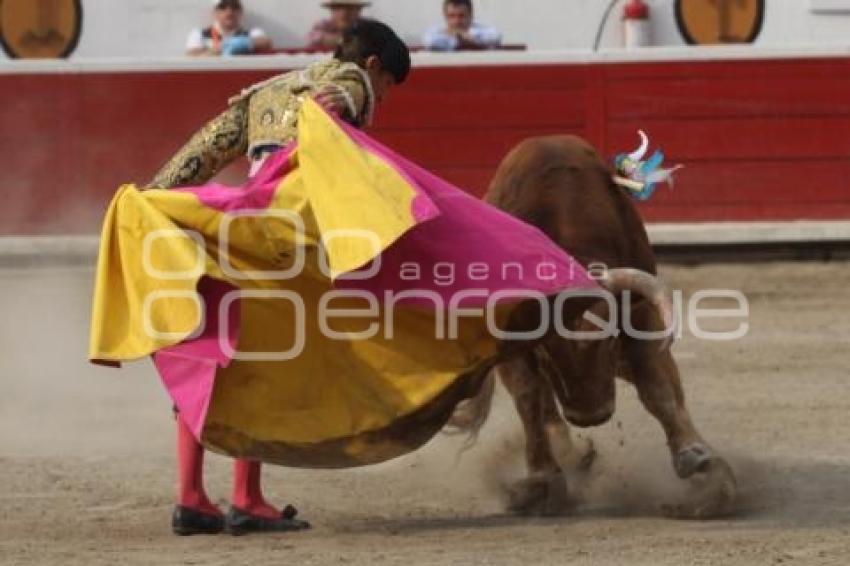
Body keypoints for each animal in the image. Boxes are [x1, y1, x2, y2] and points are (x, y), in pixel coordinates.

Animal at [450, 135, 736, 520]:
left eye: (609, 339)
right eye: (545, 353)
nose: (590, 416)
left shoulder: (641, 321)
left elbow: (659, 390)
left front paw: (697, 459)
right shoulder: (512, 345)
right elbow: (529, 398)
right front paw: (542, 478)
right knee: (544, 407)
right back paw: (570, 456)